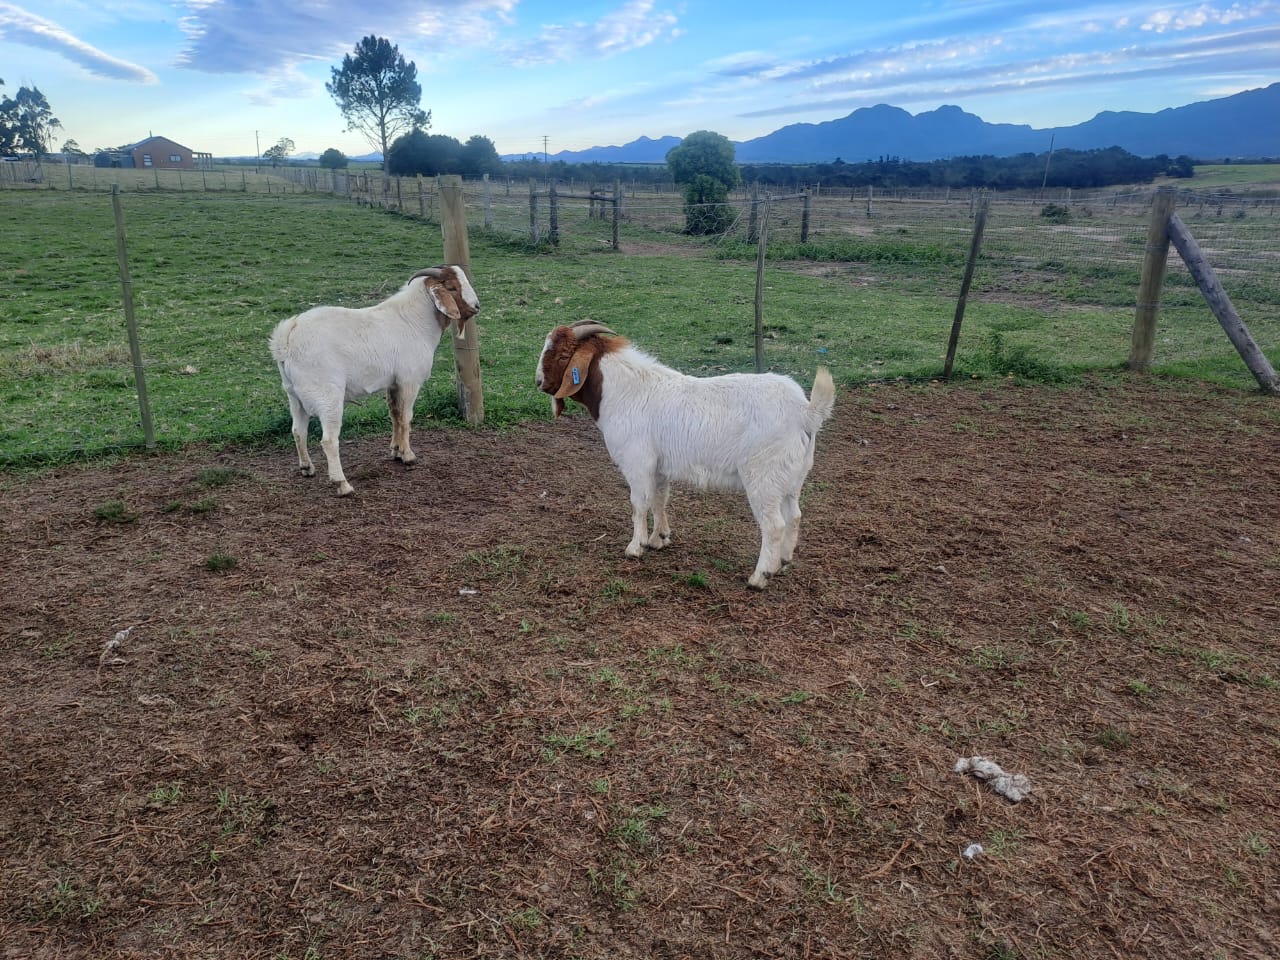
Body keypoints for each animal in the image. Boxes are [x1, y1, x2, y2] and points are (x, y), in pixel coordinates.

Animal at [268, 265, 479, 495]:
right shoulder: (409, 380)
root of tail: (287, 338)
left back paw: (307, 468)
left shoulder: (393, 383)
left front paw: (395, 451)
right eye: (451, 287)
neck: (414, 321)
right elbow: (406, 417)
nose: (476, 306)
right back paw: (342, 484)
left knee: (298, 430)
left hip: (293, 395)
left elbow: (395, 415)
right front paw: (408, 456)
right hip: (327, 395)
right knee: (329, 440)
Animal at [536, 321, 836, 589]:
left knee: (774, 525)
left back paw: (759, 577)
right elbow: (659, 499)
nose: (538, 382)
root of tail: (806, 412)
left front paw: (635, 547)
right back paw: (782, 562)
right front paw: (659, 539)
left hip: (763, 477)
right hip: (791, 477)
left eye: (562, 355)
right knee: (794, 515)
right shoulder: (658, 467)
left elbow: (639, 503)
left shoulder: (637, 462)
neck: (624, 392)